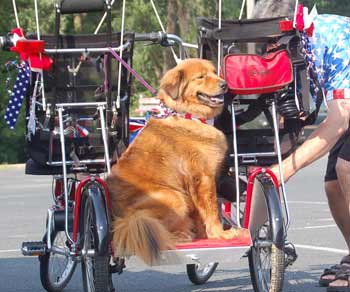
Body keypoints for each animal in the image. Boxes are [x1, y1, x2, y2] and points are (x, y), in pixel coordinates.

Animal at [106, 58, 246, 264]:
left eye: (215, 72)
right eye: (201, 77)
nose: (225, 85)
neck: (189, 115)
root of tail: (124, 219)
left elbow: (201, 213)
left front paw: (205, 234)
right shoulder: (203, 178)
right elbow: (212, 209)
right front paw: (220, 233)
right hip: (174, 197)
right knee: (162, 233)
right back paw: (182, 235)